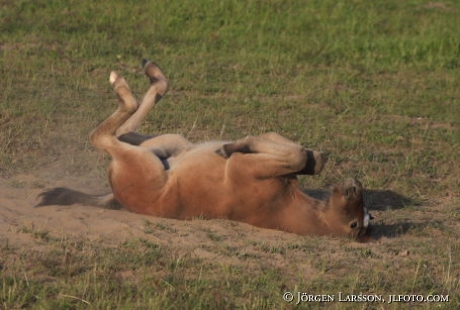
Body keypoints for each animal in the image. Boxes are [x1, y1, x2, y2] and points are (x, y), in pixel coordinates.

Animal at [37, 59, 372, 241]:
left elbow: (298, 155)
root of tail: (117, 197)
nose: (355, 184)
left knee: (105, 135)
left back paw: (123, 82)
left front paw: (235, 145)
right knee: (126, 128)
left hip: (142, 158)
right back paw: (152, 72)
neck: (285, 204)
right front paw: (245, 141)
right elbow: (311, 158)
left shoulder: (245, 168)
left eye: (358, 219)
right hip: (168, 142)